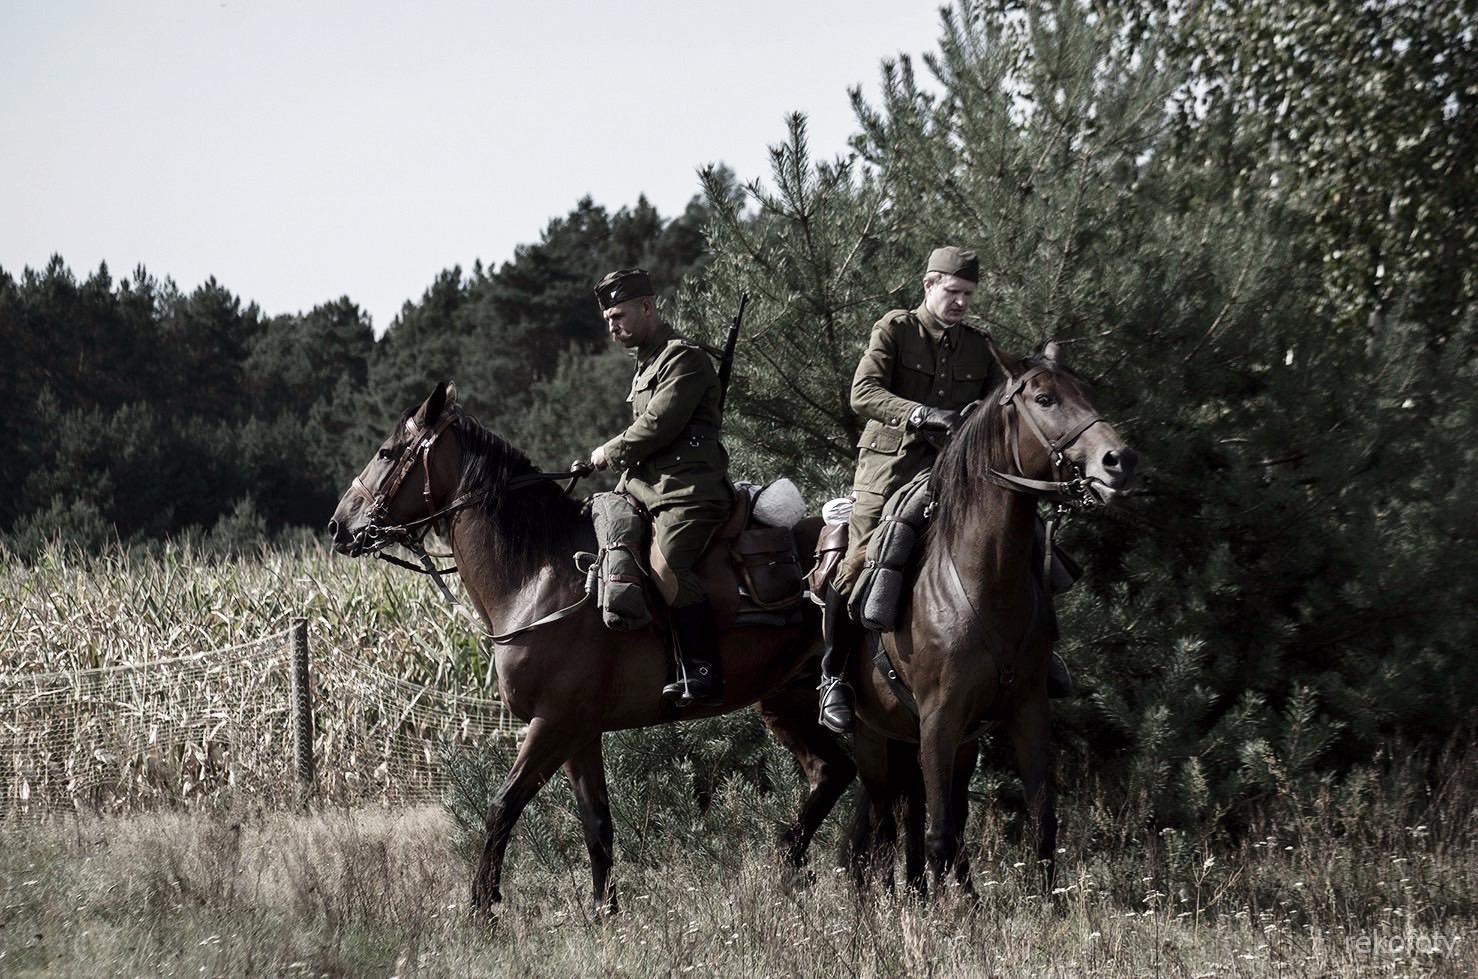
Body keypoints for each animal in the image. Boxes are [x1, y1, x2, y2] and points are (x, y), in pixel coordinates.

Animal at [327, 382, 854, 915]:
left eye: (386, 452)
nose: (338, 526)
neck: (540, 575)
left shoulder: (555, 723)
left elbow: (502, 805)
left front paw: (483, 904)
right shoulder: (580, 733)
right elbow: (596, 823)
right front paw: (606, 912)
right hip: (789, 698)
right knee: (832, 771)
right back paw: (791, 861)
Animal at [847, 339, 1137, 896]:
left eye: (1087, 390)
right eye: (1044, 398)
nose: (1119, 460)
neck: (986, 581)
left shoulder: (1026, 712)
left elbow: (1042, 822)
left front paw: (1047, 907)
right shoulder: (938, 720)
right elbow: (939, 832)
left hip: (947, 744)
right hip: (873, 740)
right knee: (883, 823)